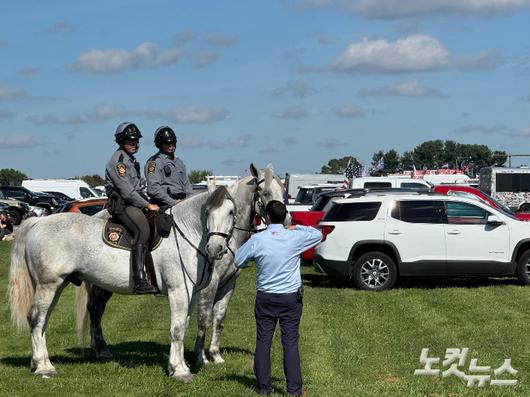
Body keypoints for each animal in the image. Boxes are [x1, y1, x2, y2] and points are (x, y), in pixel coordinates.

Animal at [7, 162, 284, 378]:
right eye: (264, 192)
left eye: (231, 212)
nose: (216, 248)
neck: (188, 232)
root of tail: (36, 222)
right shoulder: (182, 290)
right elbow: (181, 326)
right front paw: (186, 367)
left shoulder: (205, 290)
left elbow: (196, 323)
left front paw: (188, 363)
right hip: (50, 285)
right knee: (38, 319)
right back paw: (45, 367)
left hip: (70, 285)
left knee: (58, 318)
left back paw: (51, 360)